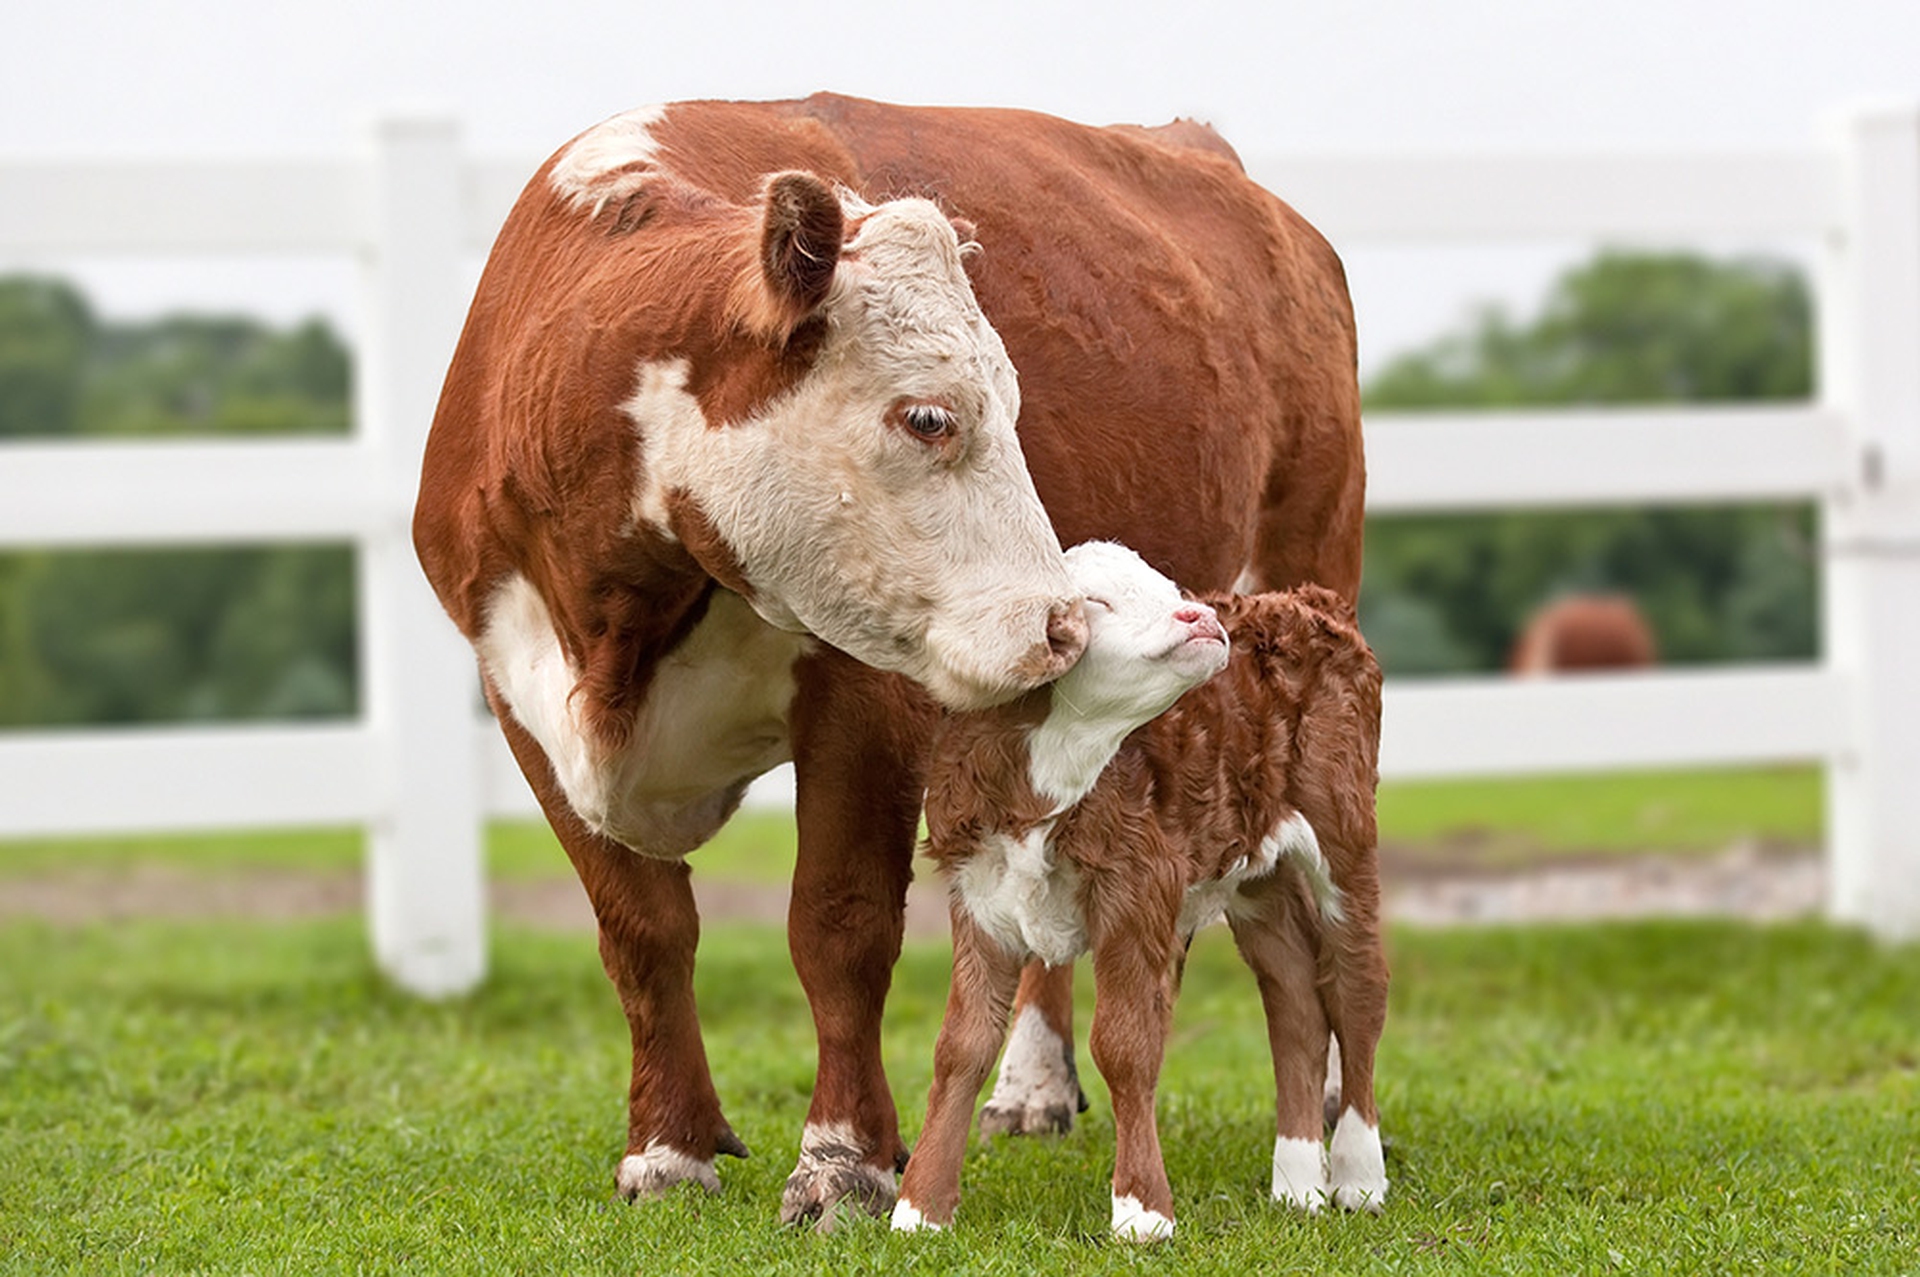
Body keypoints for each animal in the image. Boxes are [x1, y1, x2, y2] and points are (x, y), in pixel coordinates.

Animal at [890, 537, 1390, 1236]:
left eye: (1172, 589)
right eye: (1094, 602)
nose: (1199, 617)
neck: (1050, 778)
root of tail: (1301, 600)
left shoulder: (1137, 891)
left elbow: (1124, 1045)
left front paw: (1142, 1212)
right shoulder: (979, 895)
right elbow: (961, 1046)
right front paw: (919, 1208)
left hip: (1343, 835)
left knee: (1357, 989)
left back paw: (1358, 1177)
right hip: (1257, 875)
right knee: (1294, 1001)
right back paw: (1296, 1186)